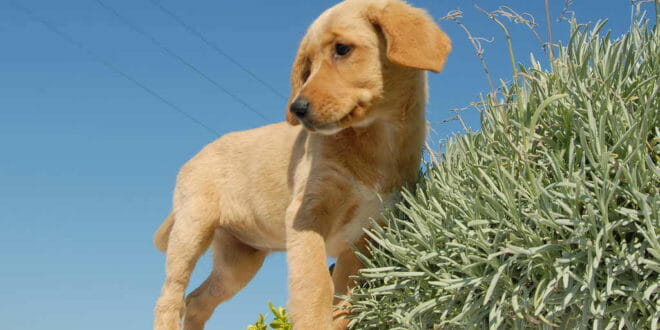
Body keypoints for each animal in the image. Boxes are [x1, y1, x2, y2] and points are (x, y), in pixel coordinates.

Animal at [152, 1, 452, 328]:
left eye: (342, 49)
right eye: (307, 66)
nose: (297, 108)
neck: (375, 141)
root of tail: (194, 157)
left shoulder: (362, 238)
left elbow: (345, 304)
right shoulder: (307, 216)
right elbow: (315, 289)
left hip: (238, 261)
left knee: (197, 301)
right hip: (191, 230)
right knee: (169, 298)